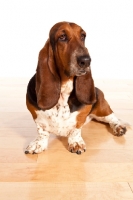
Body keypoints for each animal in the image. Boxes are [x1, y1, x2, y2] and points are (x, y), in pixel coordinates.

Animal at [25, 21, 127, 154]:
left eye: (83, 36)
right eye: (62, 37)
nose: (86, 61)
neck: (64, 89)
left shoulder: (82, 115)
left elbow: (76, 128)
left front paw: (76, 143)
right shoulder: (36, 115)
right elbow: (42, 131)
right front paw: (38, 144)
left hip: (101, 108)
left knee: (112, 117)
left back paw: (119, 127)